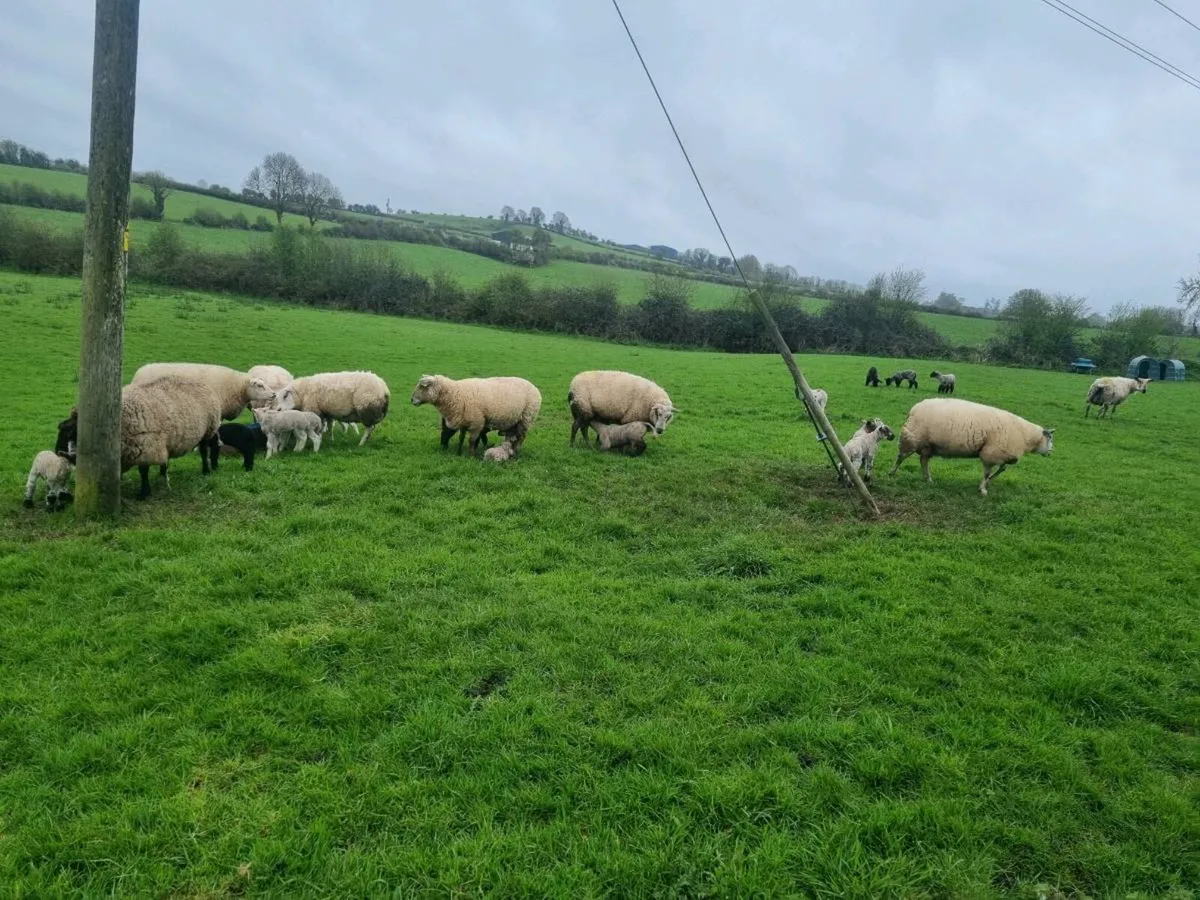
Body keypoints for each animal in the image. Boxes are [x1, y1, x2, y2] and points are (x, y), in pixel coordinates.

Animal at [56, 375, 223, 499]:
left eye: (71, 433)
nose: (57, 452)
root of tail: (203, 384)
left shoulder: (147, 448)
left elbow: (143, 472)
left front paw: (144, 493)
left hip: (208, 428)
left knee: (204, 450)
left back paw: (207, 470)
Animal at [410, 374, 542, 457]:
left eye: (422, 386)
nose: (411, 400)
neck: (455, 393)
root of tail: (534, 387)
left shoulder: (477, 423)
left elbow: (472, 440)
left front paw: (471, 455)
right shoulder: (464, 422)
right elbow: (461, 438)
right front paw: (459, 453)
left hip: (526, 418)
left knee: (521, 437)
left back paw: (516, 452)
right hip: (514, 421)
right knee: (512, 437)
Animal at [888, 398, 1054, 496]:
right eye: (1049, 438)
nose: (1051, 451)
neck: (1026, 436)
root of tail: (914, 408)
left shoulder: (1002, 455)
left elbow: (1002, 469)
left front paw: (989, 482)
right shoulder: (990, 453)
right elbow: (988, 473)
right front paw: (983, 488)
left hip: (928, 446)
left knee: (923, 461)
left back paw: (928, 478)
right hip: (912, 438)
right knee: (901, 457)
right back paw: (892, 473)